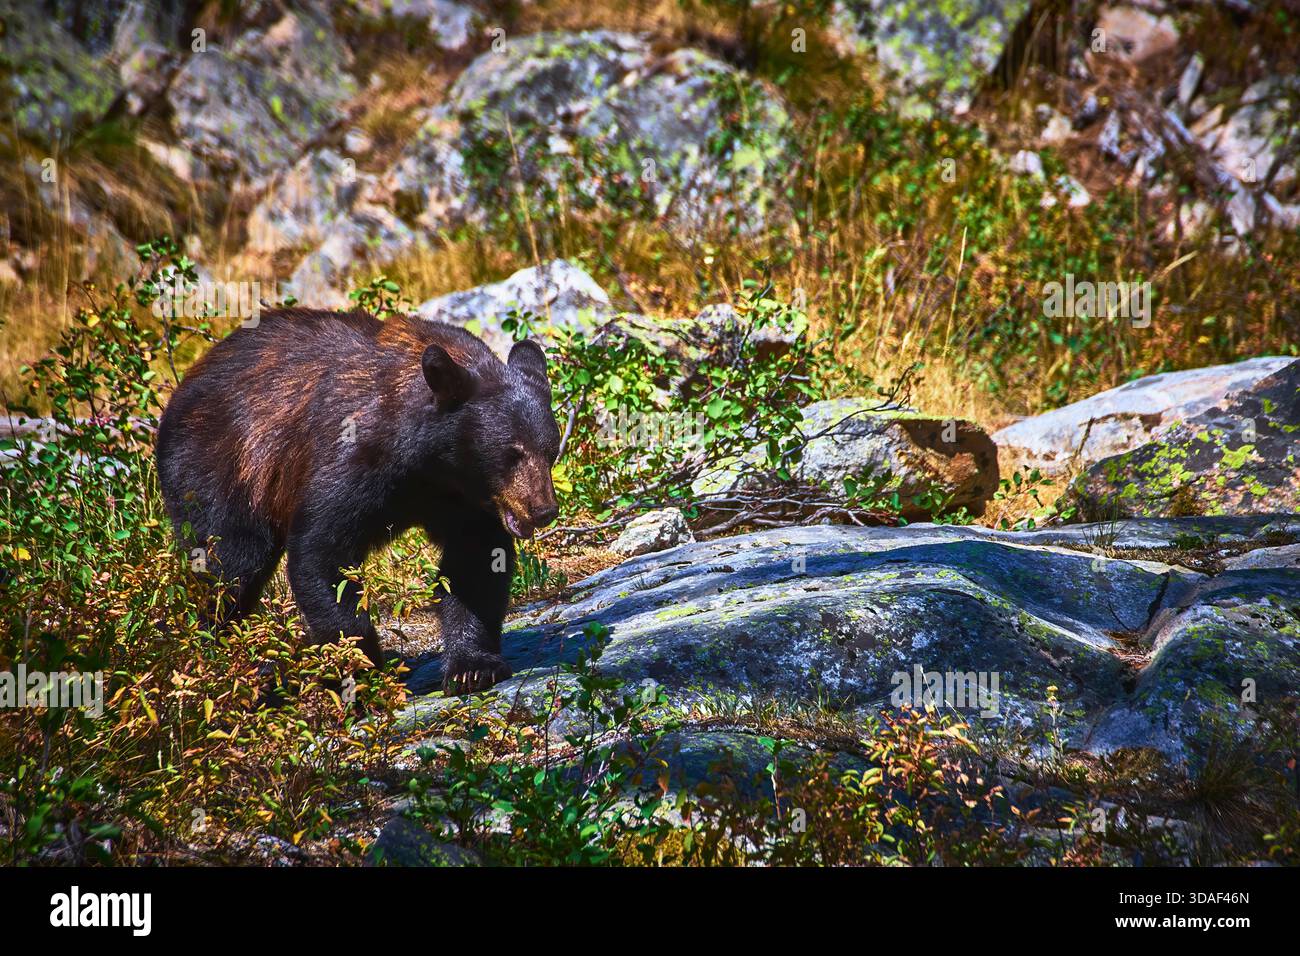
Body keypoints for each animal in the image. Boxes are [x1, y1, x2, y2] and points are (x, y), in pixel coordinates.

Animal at [155, 307, 560, 694]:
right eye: (512, 453)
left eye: (550, 450)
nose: (543, 510)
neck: (430, 458)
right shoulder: (356, 456)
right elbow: (321, 552)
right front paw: (363, 675)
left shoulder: (460, 497)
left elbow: (474, 560)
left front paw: (473, 667)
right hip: (221, 466)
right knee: (229, 563)